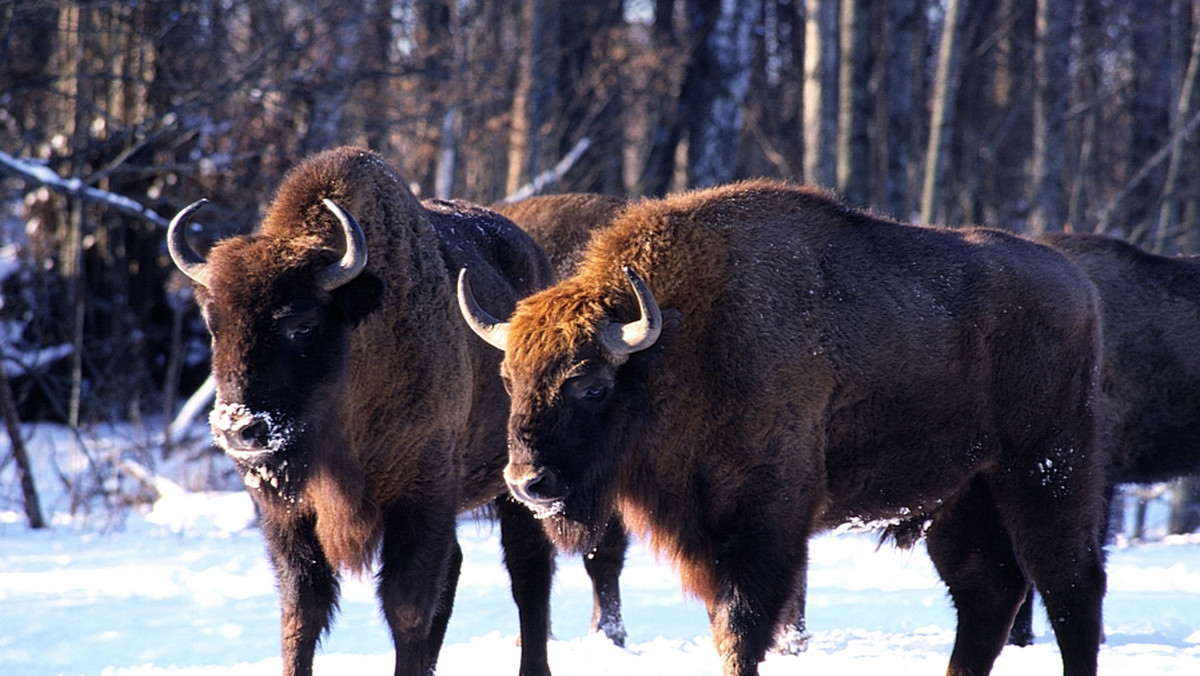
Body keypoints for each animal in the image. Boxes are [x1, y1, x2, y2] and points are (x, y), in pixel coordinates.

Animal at [166, 148, 564, 676]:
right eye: (214, 325)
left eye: (302, 325)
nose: (239, 429)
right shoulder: (289, 516)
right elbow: (302, 610)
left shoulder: (421, 495)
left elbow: (406, 606)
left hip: (517, 485)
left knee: (528, 572)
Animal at [456, 180, 1104, 676]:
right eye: (509, 377)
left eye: (592, 385)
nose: (527, 483)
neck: (683, 345)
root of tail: (1078, 284)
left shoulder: (764, 520)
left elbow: (741, 630)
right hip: (961, 495)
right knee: (988, 593)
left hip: (1046, 475)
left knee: (1071, 588)